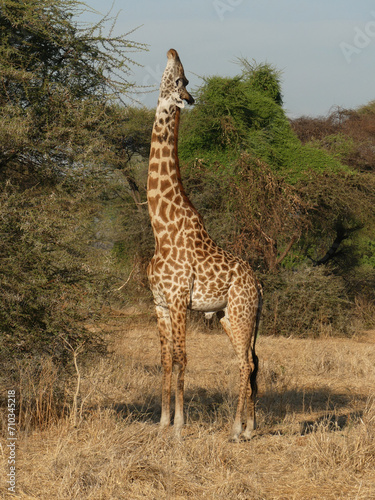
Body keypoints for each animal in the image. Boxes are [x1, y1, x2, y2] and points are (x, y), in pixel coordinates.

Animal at [146, 47, 262, 442]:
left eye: (181, 79)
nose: (172, 51)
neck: (161, 227)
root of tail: (260, 286)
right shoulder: (160, 303)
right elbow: (165, 361)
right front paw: (162, 421)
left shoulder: (180, 300)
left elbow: (182, 357)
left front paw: (180, 425)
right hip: (231, 316)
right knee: (249, 361)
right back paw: (250, 427)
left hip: (241, 313)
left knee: (245, 363)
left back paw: (237, 430)